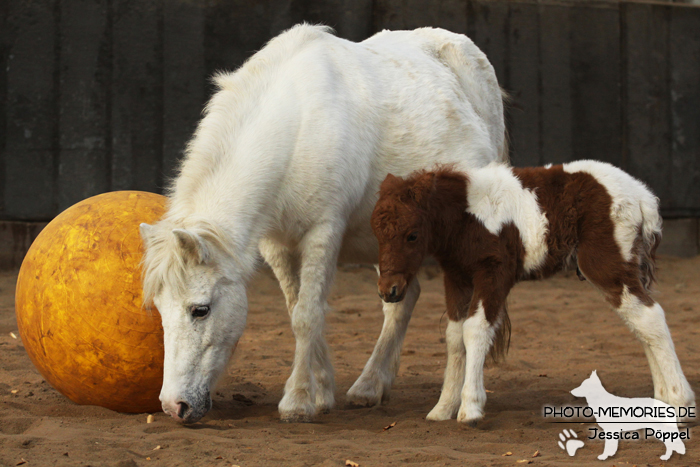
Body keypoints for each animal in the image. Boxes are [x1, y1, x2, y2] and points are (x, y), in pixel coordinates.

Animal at [139, 22, 506, 424]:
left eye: (200, 310)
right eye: (159, 309)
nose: (174, 406)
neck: (297, 129)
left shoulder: (323, 232)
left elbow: (306, 314)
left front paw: (297, 401)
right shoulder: (275, 243)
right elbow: (295, 307)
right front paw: (322, 392)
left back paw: (451, 403)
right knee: (402, 301)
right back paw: (369, 387)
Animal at [372, 163, 696, 426]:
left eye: (412, 235)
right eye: (378, 234)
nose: (389, 290)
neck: (467, 217)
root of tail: (643, 196)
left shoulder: (494, 273)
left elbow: (475, 330)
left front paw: (470, 409)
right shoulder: (456, 278)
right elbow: (454, 336)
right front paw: (442, 408)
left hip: (607, 265)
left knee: (650, 317)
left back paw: (679, 401)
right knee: (641, 324)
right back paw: (662, 401)